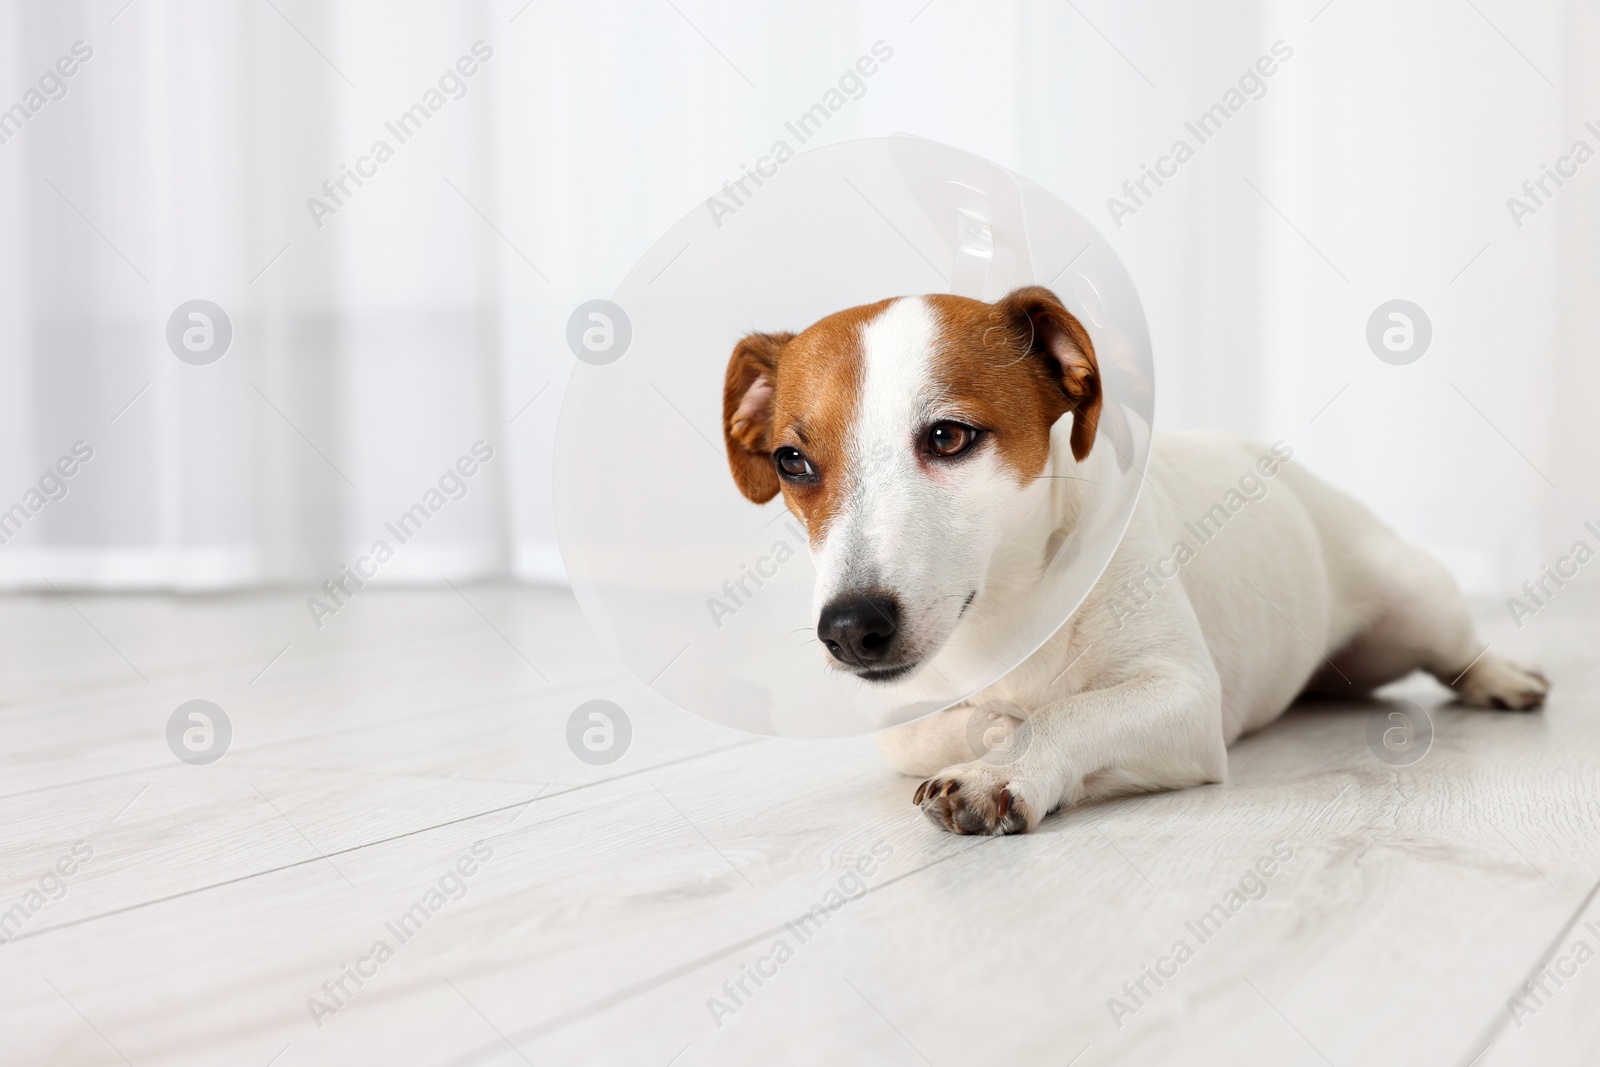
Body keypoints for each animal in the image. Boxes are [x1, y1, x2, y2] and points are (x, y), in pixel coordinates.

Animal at [726, 287, 1548, 838]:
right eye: (792, 461)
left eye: (949, 436)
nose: (849, 630)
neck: (1005, 614)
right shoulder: (902, 713)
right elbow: (937, 727)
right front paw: (994, 728)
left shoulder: (1182, 699)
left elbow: (1074, 711)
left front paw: (1003, 762)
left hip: (1413, 603)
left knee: (1456, 646)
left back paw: (1504, 677)